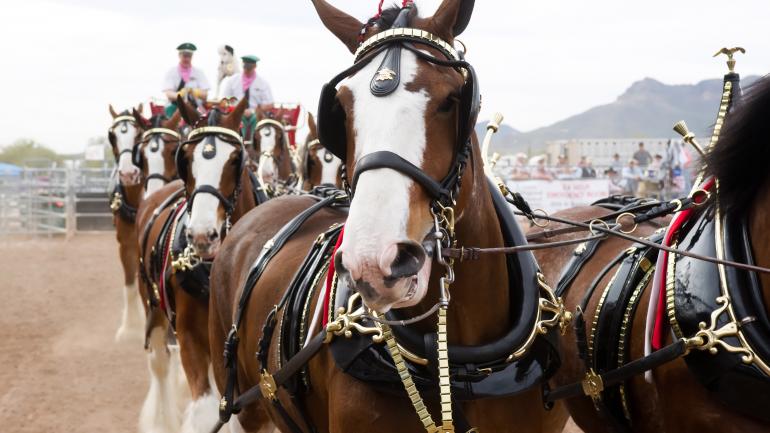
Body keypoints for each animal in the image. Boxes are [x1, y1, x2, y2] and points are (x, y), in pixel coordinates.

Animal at [134, 95, 267, 433]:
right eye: (187, 158)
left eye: (235, 159)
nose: (202, 235)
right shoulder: (191, 336)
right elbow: (206, 411)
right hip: (152, 306)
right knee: (159, 364)